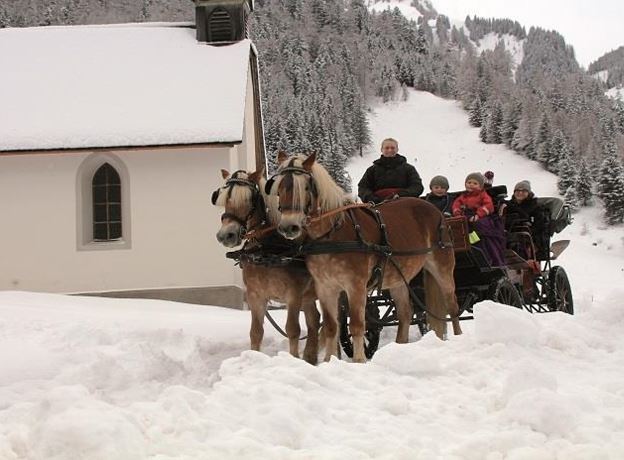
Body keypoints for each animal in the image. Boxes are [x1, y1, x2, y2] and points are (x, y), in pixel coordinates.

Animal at [214, 167, 322, 364]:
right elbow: (256, 332)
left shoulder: (293, 295)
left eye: (249, 199)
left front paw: (293, 359)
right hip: (309, 296)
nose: (226, 235)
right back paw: (310, 357)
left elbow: (292, 329)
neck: (266, 251)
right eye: (225, 198)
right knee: (314, 319)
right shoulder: (255, 295)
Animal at [266, 154, 460, 362]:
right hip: (399, 277)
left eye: (306, 187)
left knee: (452, 305)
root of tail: (435, 210)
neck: (332, 234)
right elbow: (331, 327)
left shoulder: (356, 286)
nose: (289, 227)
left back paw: (459, 336)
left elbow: (358, 325)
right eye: (279, 189)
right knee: (405, 313)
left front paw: (359, 361)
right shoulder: (325, 287)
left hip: (442, 266)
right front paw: (329, 361)